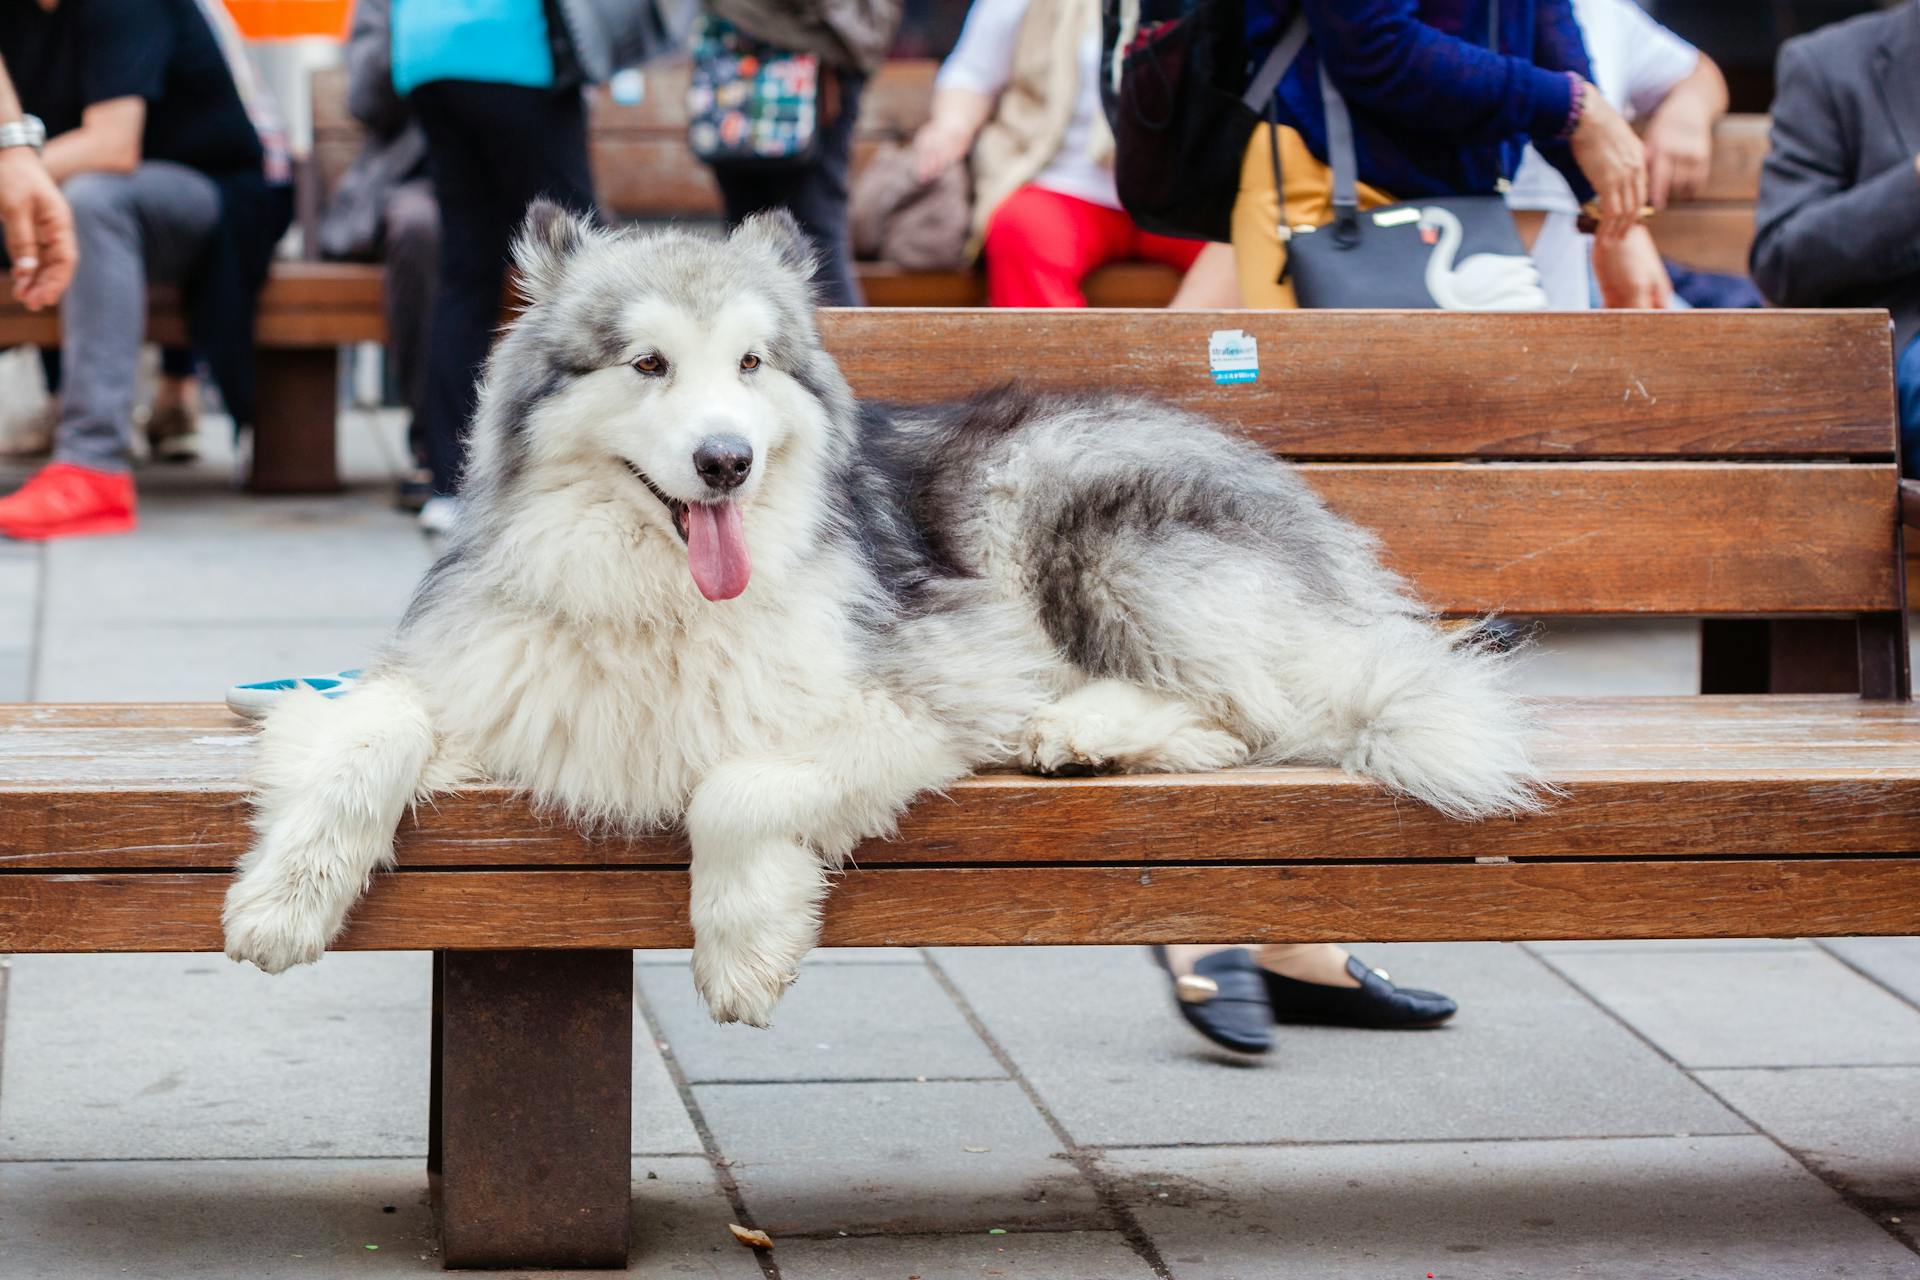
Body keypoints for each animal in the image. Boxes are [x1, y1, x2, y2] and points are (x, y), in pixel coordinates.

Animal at [220, 210, 1543, 1028]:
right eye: (648, 364)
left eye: (752, 364)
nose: (727, 461)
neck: (655, 593)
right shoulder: (485, 680)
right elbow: (364, 734)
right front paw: (285, 899)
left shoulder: (921, 686)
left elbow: (739, 785)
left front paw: (744, 945)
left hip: (1077, 517)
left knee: (1261, 710)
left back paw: (1087, 726)